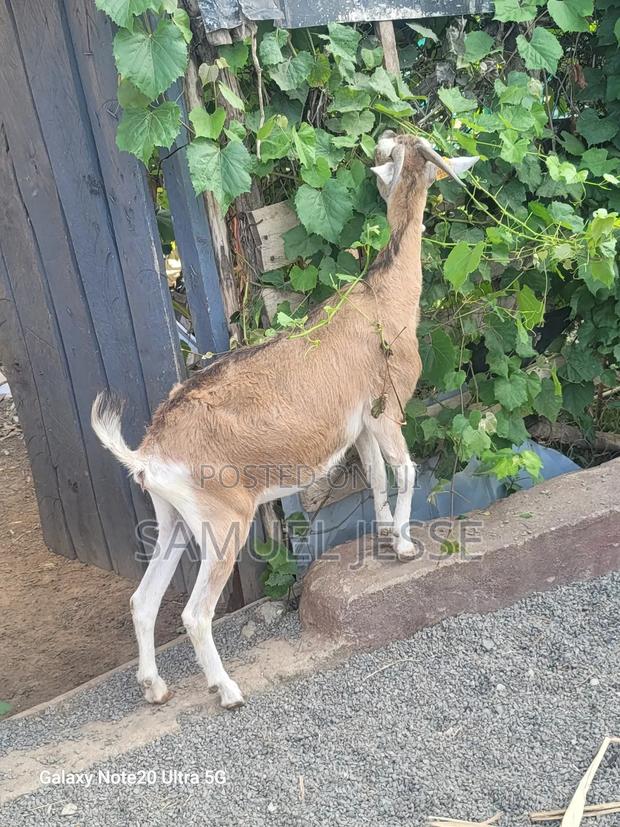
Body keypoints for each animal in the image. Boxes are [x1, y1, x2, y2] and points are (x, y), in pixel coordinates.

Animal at [92, 132, 479, 709]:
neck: (382, 298)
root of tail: (148, 452)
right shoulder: (387, 410)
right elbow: (405, 471)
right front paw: (408, 546)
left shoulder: (360, 426)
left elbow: (377, 477)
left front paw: (388, 538)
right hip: (223, 523)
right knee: (194, 612)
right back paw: (227, 690)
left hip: (174, 520)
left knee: (144, 600)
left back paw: (155, 688)